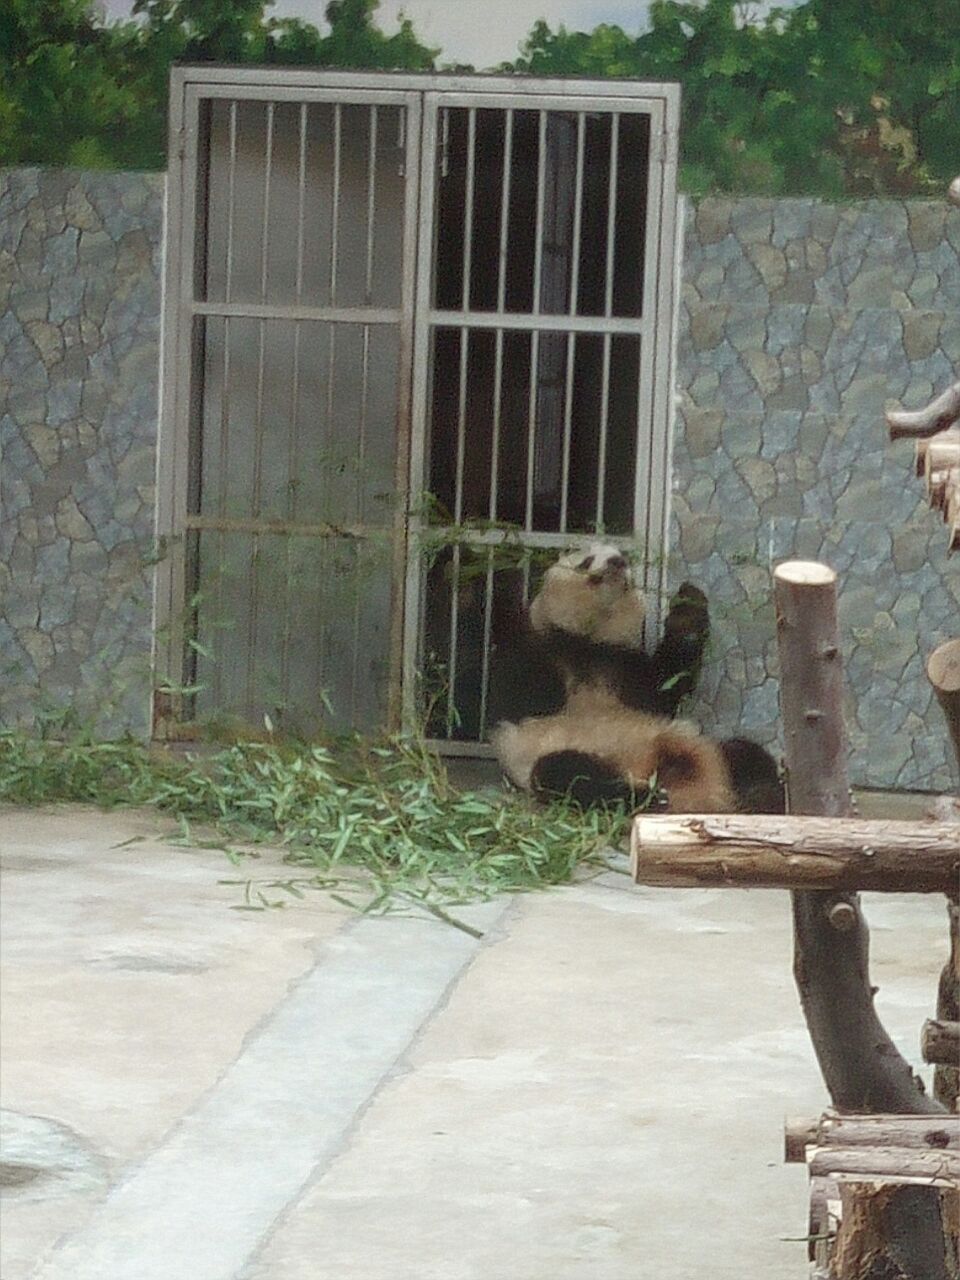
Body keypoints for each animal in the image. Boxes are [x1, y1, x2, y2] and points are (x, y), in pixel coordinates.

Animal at [483, 545, 783, 814]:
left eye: (624, 557)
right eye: (586, 560)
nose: (617, 562)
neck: (588, 642)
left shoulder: (624, 665)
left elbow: (662, 690)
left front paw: (687, 610)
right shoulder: (541, 650)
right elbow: (523, 696)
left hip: (701, 747)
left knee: (745, 755)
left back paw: (762, 795)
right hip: (558, 754)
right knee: (568, 774)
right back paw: (643, 797)